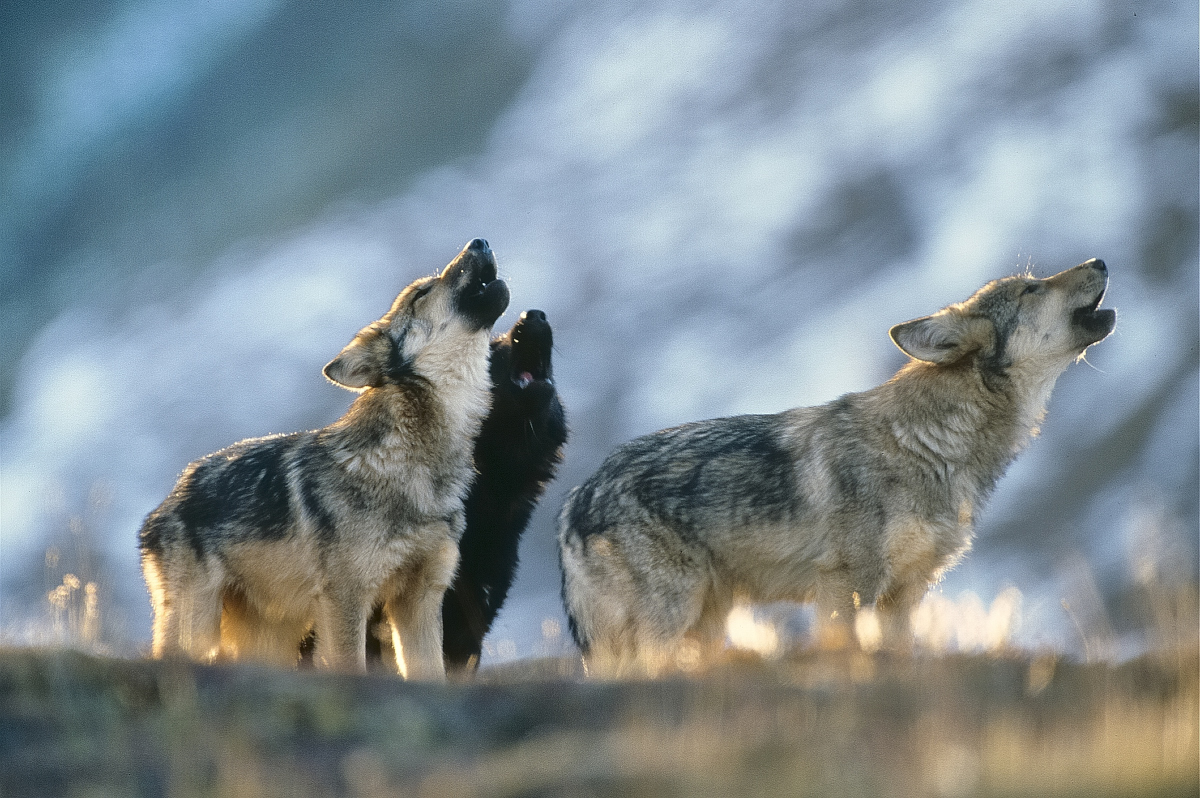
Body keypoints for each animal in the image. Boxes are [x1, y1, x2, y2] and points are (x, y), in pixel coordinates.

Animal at [138, 237, 508, 676]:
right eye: (422, 293)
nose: (479, 241)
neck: (409, 464)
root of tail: (163, 505)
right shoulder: (345, 599)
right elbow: (351, 667)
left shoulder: (419, 600)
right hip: (198, 628)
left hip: (271, 640)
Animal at [556, 258, 1118, 676]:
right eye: (1030, 288)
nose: (1099, 260)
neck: (929, 445)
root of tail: (575, 499)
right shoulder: (847, 587)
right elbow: (848, 651)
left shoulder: (906, 594)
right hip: (672, 616)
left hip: (710, 620)